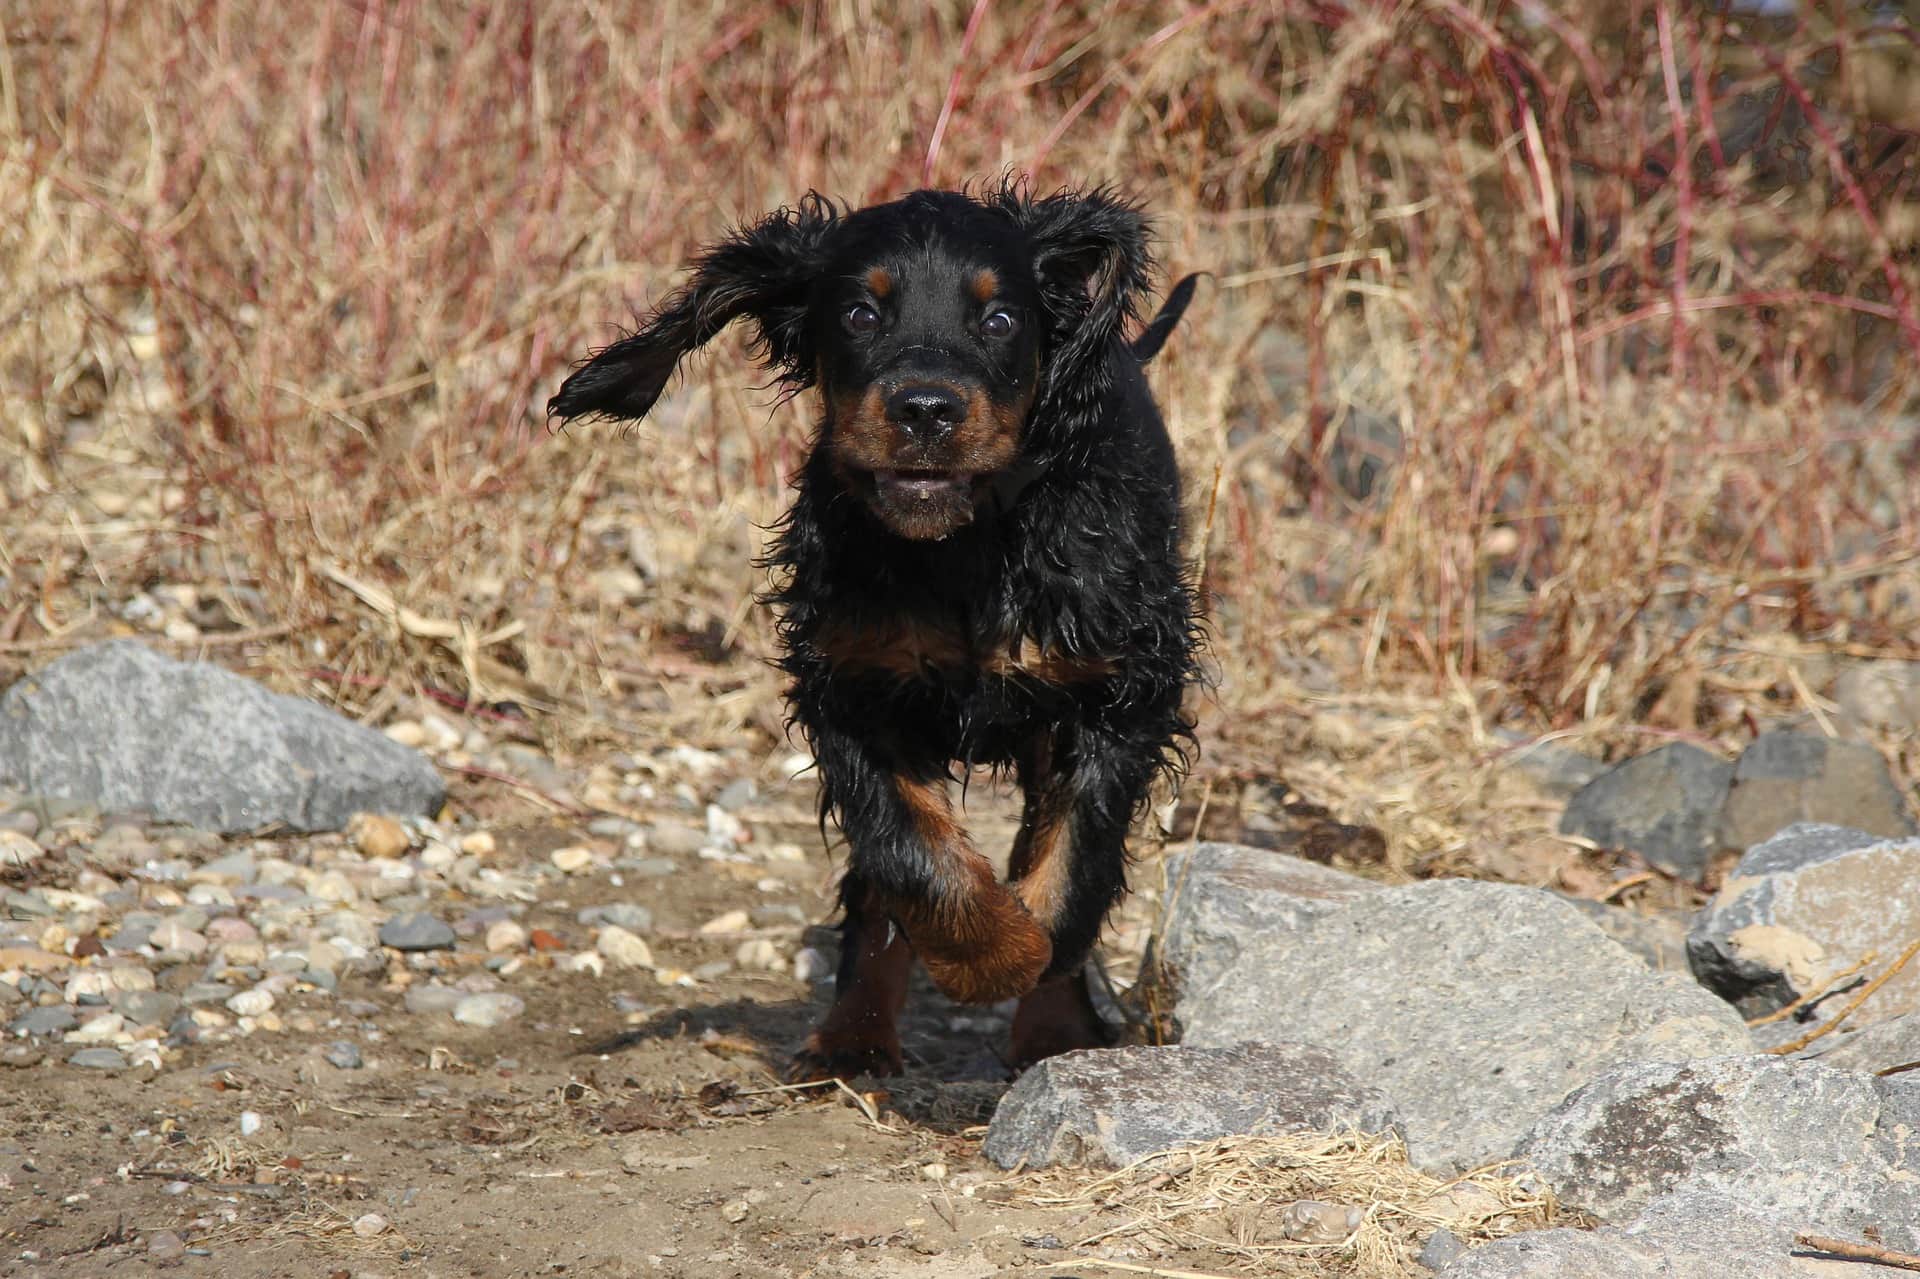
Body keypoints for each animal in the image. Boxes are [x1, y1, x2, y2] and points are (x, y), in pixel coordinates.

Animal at [549, 181, 1190, 1075]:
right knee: (876, 886)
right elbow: (909, 854)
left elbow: (1074, 860)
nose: (925, 410)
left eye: (1000, 320)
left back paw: (1050, 1031)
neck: (961, 547)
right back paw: (851, 1036)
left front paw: (1039, 968)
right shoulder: (851, 684)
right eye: (858, 313)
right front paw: (990, 951)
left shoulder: (1120, 692)